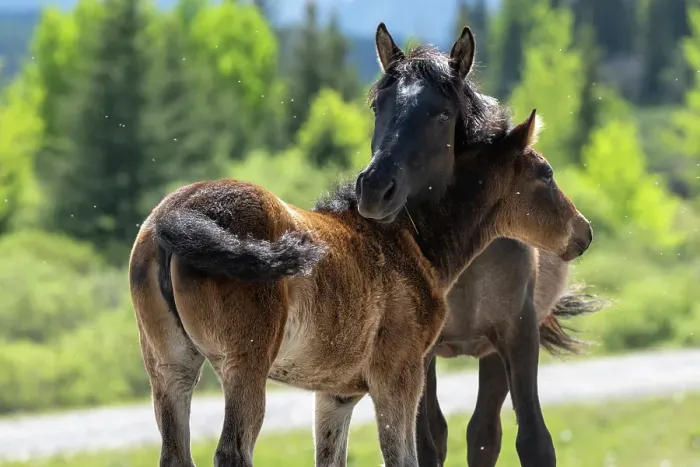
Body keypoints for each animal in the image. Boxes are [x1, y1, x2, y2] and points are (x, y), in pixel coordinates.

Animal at [355, 24, 606, 467]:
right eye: (377, 107)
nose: (374, 188)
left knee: (484, 433)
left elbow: (533, 441)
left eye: (441, 113)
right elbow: (425, 444)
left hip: (491, 355)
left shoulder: (519, 334)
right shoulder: (417, 352)